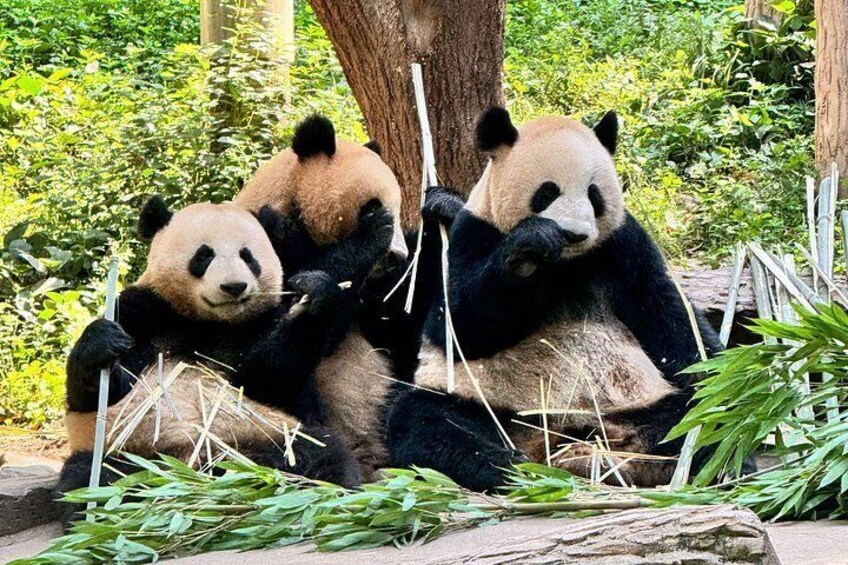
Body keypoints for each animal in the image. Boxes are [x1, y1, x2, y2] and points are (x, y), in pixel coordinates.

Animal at [58, 198, 363, 524]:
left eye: (247, 256)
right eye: (204, 255)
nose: (234, 286)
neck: (211, 322)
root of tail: (200, 470)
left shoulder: (261, 325)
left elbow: (270, 382)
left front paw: (313, 293)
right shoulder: (144, 311)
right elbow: (98, 395)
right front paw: (103, 343)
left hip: (270, 436)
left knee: (322, 458)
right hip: (129, 452)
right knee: (94, 478)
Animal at [234, 115, 441, 480]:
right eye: (373, 205)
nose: (398, 257)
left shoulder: (378, 299)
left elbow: (408, 322)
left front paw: (443, 208)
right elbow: (255, 372)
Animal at [385, 107, 723, 491]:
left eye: (594, 194)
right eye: (547, 192)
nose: (573, 233)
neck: (565, 263)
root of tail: (560, 436)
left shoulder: (623, 245)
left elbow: (668, 314)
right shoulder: (471, 233)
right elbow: (458, 324)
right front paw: (528, 249)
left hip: (635, 406)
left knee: (694, 421)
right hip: (492, 407)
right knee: (427, 421)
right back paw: (510, 468)